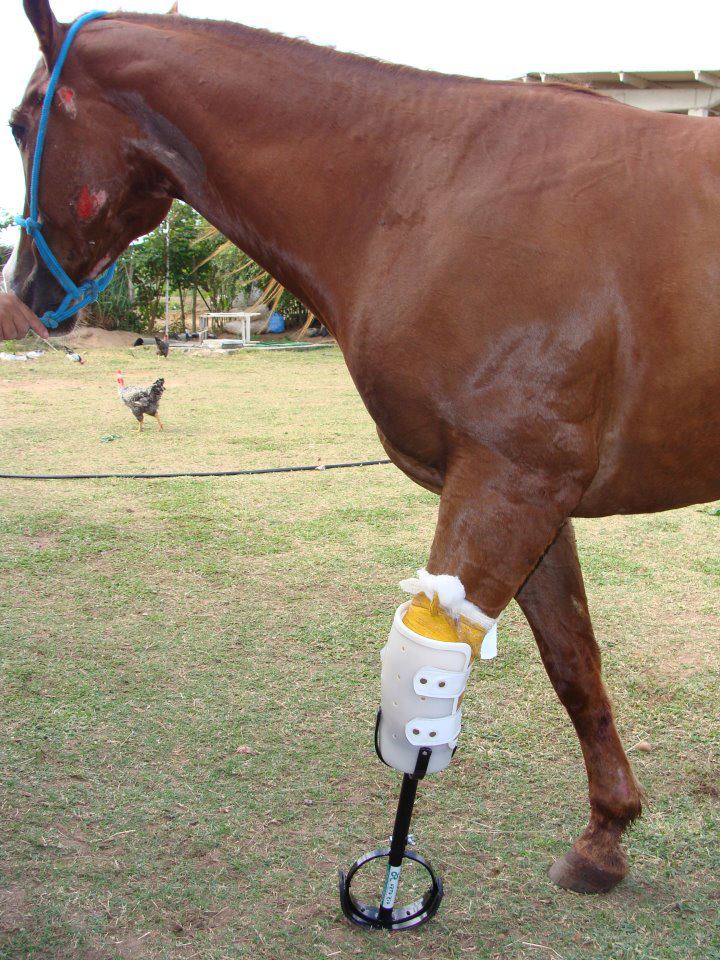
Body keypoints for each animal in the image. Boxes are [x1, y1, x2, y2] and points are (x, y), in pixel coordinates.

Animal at [7, 0, 719, 898]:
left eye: (21, 121)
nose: (23, 295)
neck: (428, 188)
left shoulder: (506, 486)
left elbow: (426, 682)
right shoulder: (536, 500)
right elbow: (574, 666)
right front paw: (606, 836)